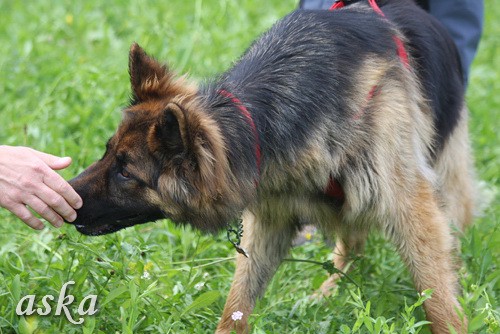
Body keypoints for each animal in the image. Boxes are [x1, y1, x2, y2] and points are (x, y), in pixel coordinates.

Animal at [68, 0, 474, 332]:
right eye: (107, 152)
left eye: (126, 173)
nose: (67, 194)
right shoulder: (270, 223)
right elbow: (237, 303)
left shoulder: (411, 209)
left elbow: (437, 297)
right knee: (353, 243)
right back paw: (329, 291)